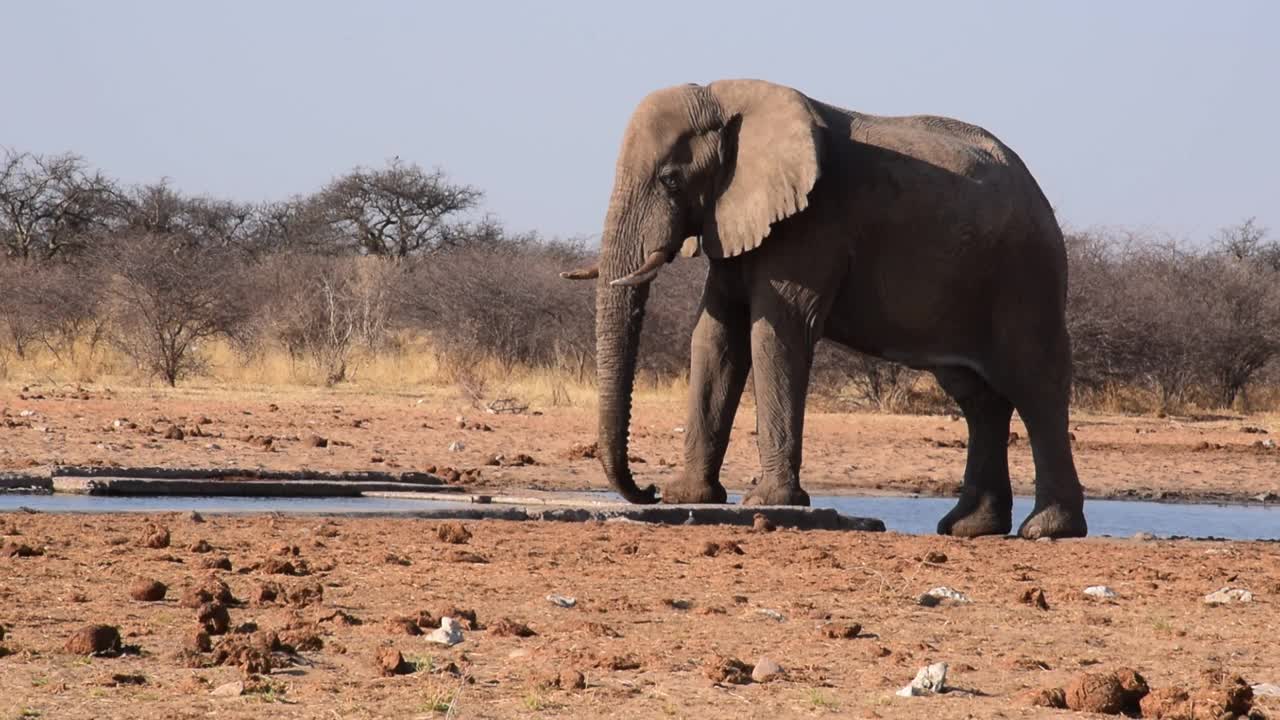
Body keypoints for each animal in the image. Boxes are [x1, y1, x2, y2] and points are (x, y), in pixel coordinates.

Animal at [565, 79, 1085, 538]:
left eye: (670, 179)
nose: (648, 490)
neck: (726, 99)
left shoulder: (813, 222)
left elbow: (777, 332)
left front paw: (768, 502)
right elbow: (715, 337)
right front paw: (689, 497)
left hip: (1026, 273)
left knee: (1034, 384)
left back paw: (1046, 530)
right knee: (978, 398)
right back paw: (970, 528)